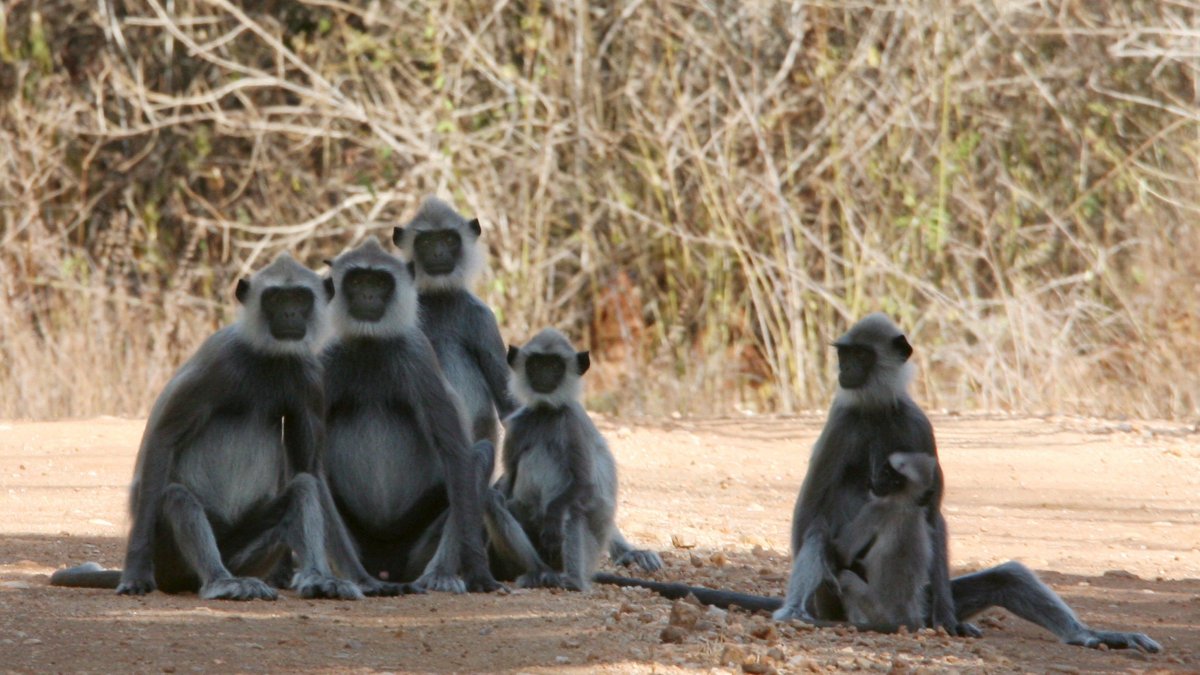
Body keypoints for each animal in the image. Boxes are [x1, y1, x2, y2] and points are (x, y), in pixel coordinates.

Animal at [49, 253, 394, 600]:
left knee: (303, 487)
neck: (268, 357)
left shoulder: (309, 377)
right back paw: (220, 581)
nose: (289, 313)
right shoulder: (218, 360)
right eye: (276, 298)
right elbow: (162, 440)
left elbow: (309, 469)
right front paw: (135, 572)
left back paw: (315, 579)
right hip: (170, 557)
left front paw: (357, 577)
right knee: (176, 496)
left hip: (244, 555)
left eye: (300, 298)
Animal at [320, 238, 501, 593]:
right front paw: (359, 581)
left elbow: (456, 455)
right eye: (357, 281)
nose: (368, 296)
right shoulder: (326, 361)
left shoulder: (417, 356)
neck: (370, 343)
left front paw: (478, 572)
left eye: (379, 282)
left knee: (478, 455)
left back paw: (439, 574)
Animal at [391, 197, 518, 446]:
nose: (438, 253)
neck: (438, 299)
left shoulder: (482, 319)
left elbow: (509, 406)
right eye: (426, 241)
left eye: (449, 239)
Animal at [490, 328, 662, 590]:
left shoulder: (572, 423)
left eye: (554, 365)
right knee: (498, 501)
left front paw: (553, 519)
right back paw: (537, 572)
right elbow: (508, 481)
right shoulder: (517, 426)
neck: (545, 412)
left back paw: (571, 580)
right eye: (535, 364)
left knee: (572, 509)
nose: (544, 374)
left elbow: (583, 484)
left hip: (587, 552)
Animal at [832, 451, 937, 629]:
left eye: (896, 483)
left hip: (875, 610)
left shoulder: (875, 510)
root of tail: (902, 616)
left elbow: (843, 552)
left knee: (845, 578)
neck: (906, 506)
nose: (880, 484)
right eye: (887, 472)